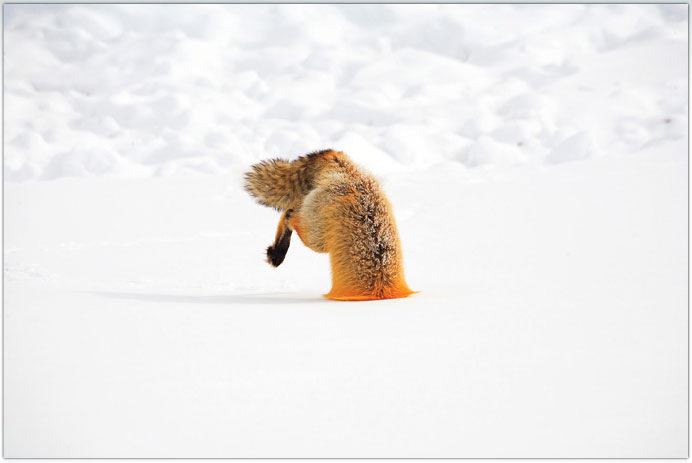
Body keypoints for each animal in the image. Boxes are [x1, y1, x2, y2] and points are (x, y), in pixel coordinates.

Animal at [243, 149, 414, 301]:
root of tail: (345, 169)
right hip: (317, 238)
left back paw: (277, 252)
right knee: (290, 215)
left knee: (290, 211)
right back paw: (278, 252)